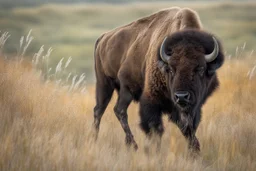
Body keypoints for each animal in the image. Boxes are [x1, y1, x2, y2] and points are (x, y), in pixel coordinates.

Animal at [92, 7, 224, 152]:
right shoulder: (151, 100)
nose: (181, 96)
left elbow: (188, 128)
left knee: (115, 110)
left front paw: (195, 149)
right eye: (171, 69)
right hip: (108, 85)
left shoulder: (192, 107)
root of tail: (103, 37)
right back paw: (109, 141)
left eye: (200, 68)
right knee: (104, 110)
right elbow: (155, 128)